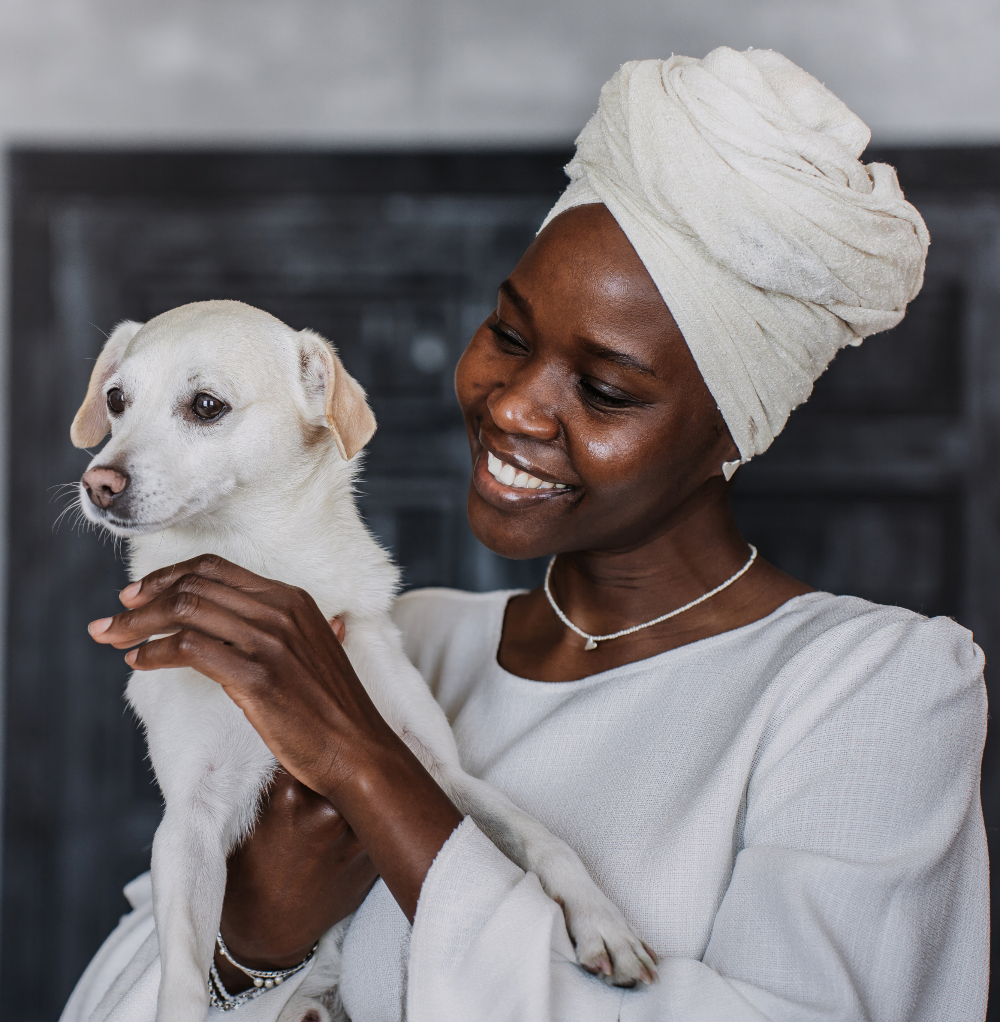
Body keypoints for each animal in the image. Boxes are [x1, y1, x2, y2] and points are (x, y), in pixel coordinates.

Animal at [76, 300, 654, 1021]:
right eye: (115, 400)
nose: (98, 481)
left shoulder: (430, 770)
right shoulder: (190, 821)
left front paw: (603, 923)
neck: (253, 560)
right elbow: (181, 973)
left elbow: (541, 837)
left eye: (206, 405)